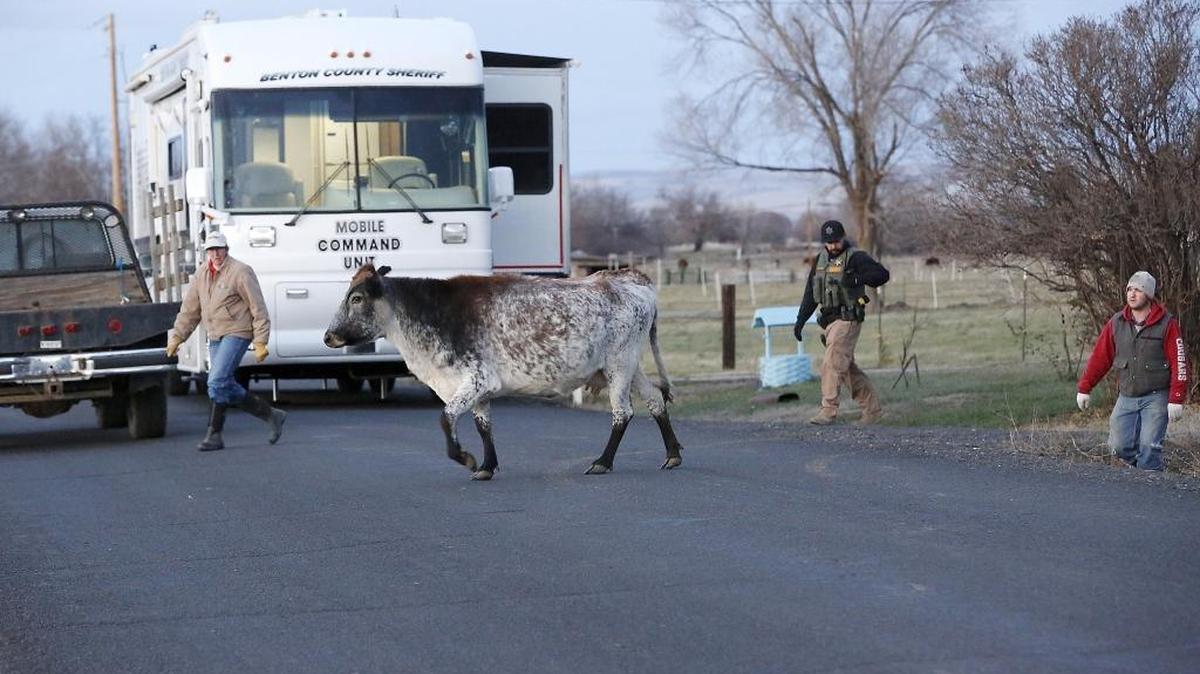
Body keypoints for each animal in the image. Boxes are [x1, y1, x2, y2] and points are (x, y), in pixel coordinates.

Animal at [323, 264, 684, 481]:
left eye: (356, 298)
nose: (329, 336)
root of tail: (630, 277)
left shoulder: (475, 380)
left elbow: (446, 417)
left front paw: (465, 458)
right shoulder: (478, 389)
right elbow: (484, 426)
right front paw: (486, 466)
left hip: (619, 365)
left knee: (622, 413)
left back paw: (603, 462)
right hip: (629, 365)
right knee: (655, 399)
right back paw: (672, 454)